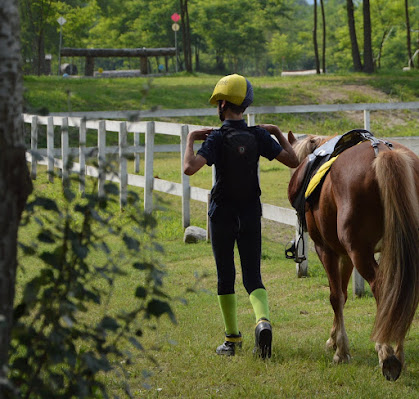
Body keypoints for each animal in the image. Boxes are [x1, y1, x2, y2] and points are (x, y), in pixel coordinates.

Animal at [288, 132, 419, 382]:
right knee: (401, 291)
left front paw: (341, 350)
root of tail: (384, 153)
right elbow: (344, 294)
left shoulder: (326, 249)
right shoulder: (346, 255)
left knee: (381, 287)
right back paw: (398, 353)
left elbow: (335, 296)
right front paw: (333, 339)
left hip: (359, 252)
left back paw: (387, 355)